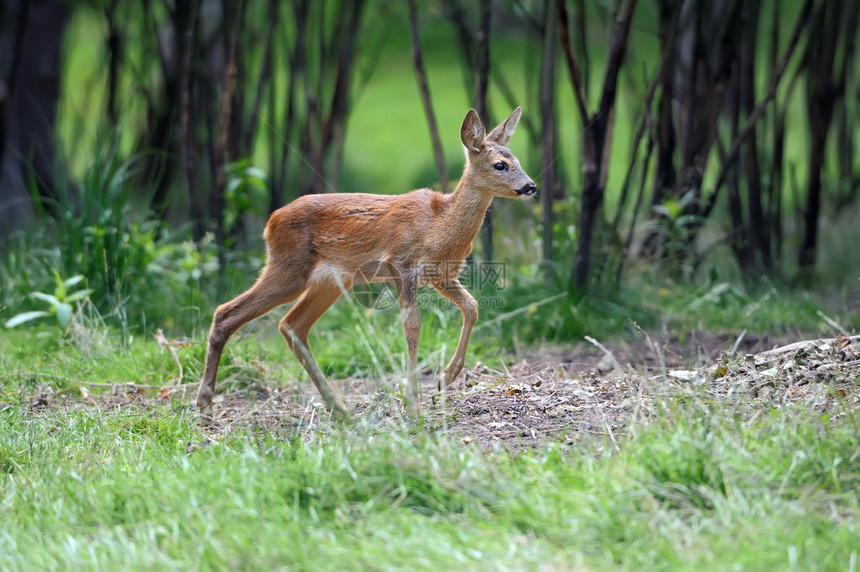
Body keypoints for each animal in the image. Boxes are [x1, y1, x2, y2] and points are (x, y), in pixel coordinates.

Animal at [196, 107, 536, 418]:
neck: (439, 226)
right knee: (227, 312)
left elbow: (472, 307)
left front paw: (445, 379)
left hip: (330, 281)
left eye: (518, 161)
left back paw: (339, 408)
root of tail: (270, 222)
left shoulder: (441, 274)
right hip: (288, 268)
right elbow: (412, 326)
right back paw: (204, 404)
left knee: (291, 325)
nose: (531, 186)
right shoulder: (401, 264)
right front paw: (414, 404)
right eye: (500, 165)